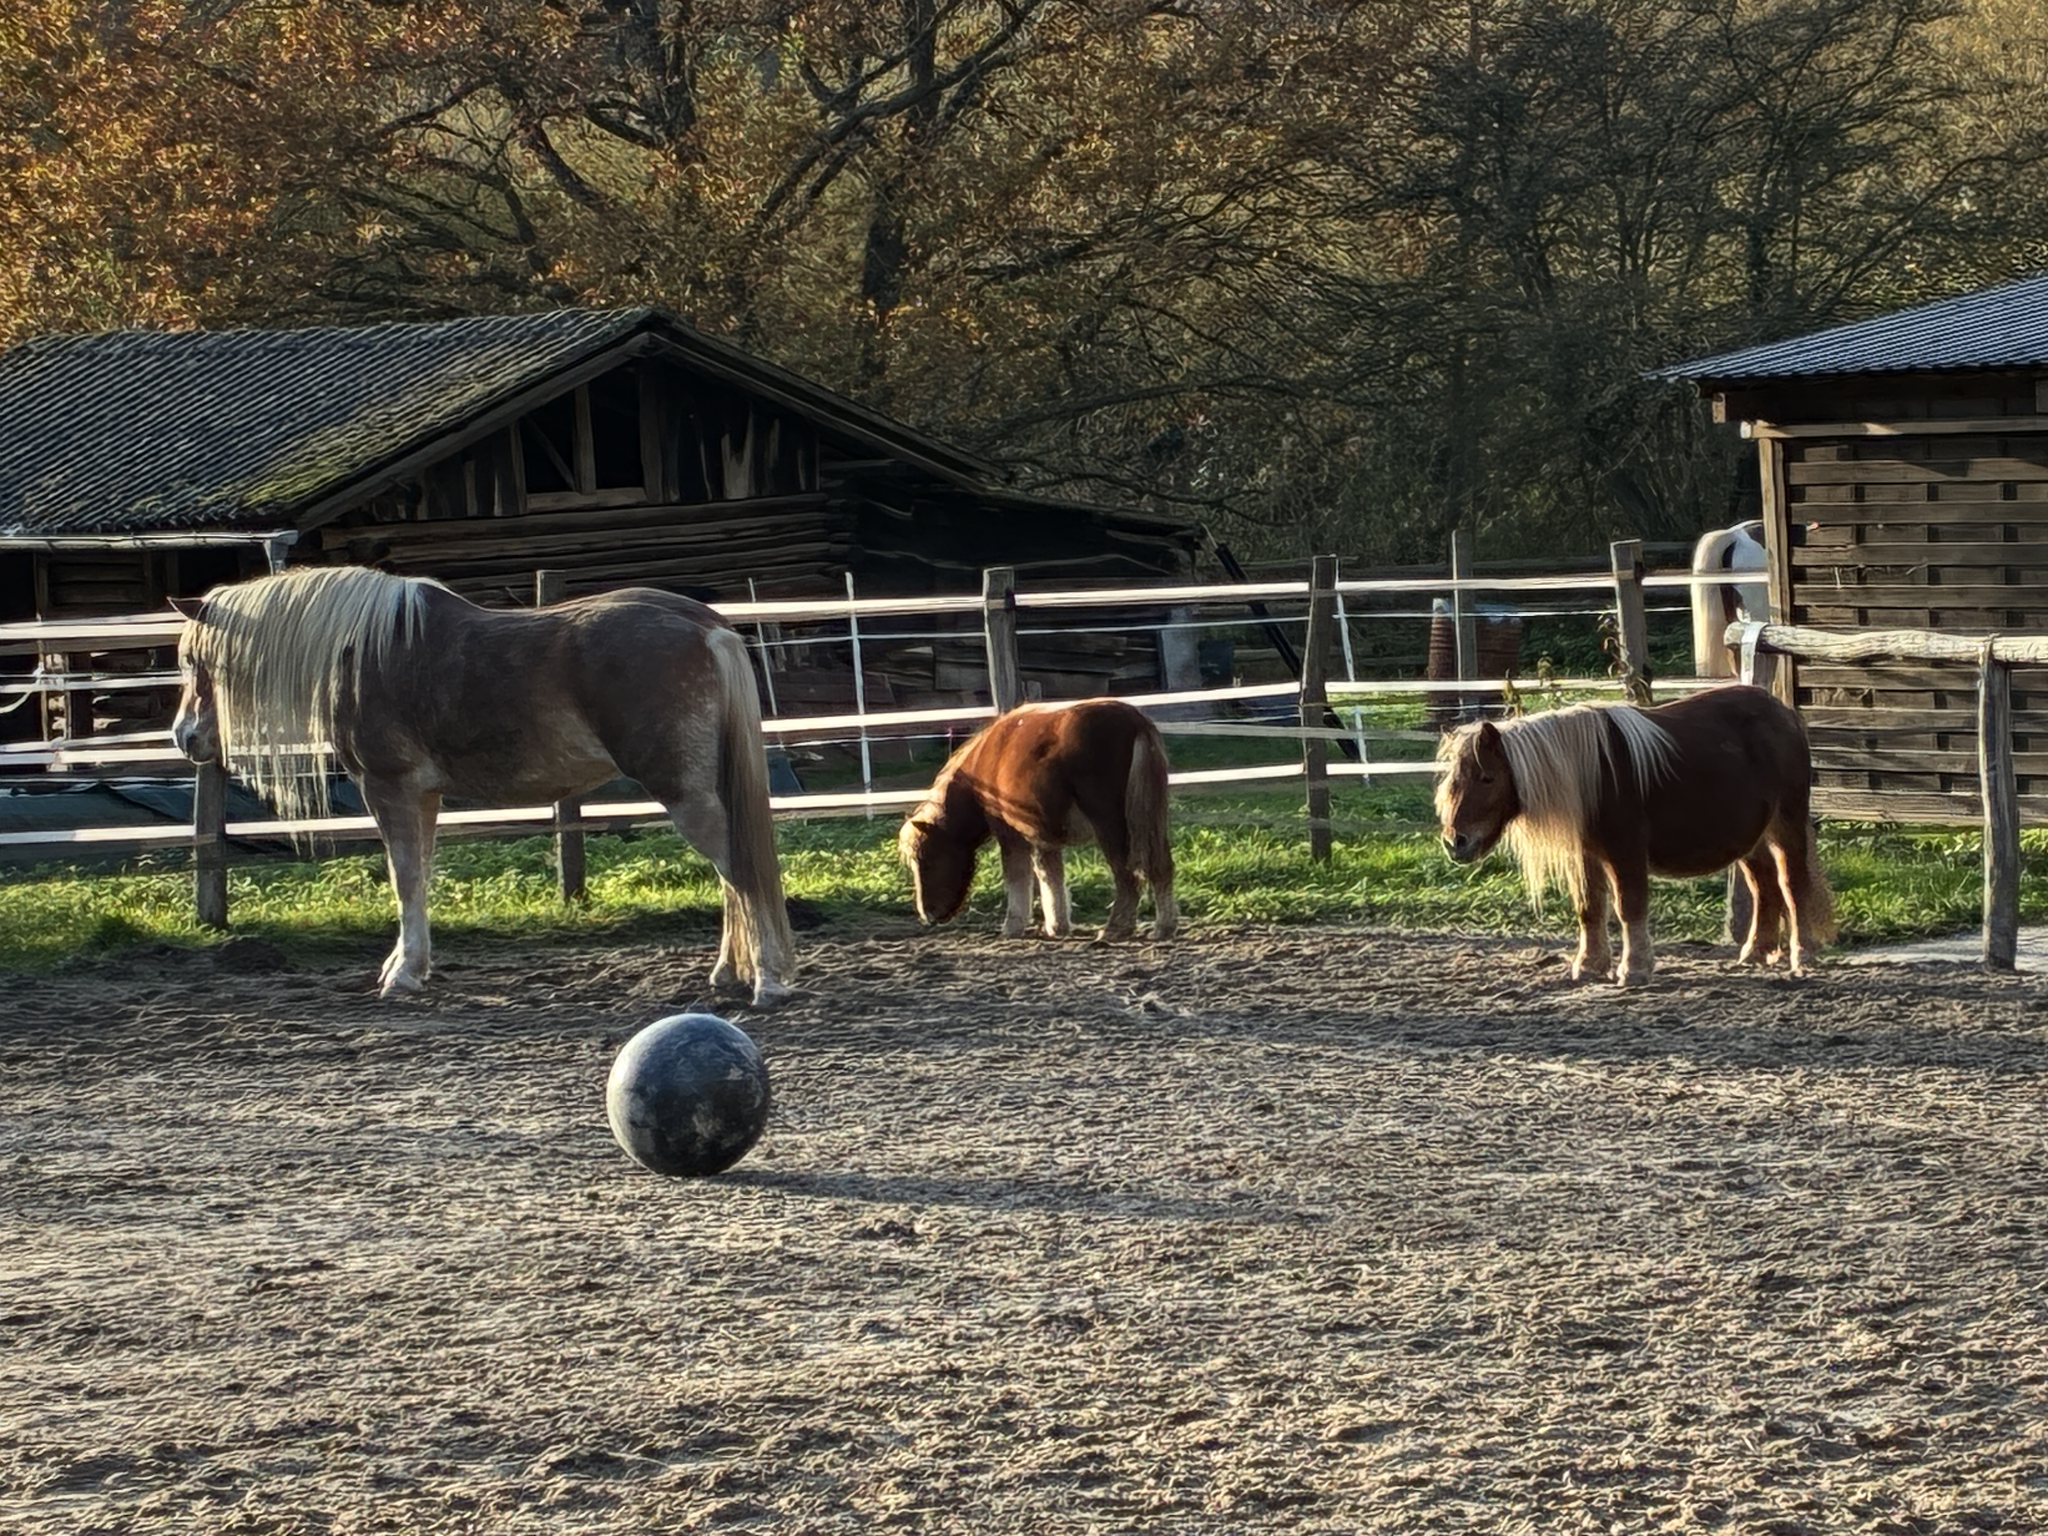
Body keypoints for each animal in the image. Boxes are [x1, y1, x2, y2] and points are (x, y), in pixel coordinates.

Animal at [170, 565, 798, 1005]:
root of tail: (706, 626)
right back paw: (728, 973)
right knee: (732, 877)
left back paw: (767, 979)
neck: (363, 652)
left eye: (195, 661)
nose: (184, 737)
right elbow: (419, 877)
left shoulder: (388, 787)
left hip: (682, 790)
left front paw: (402, 975)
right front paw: (410, 966)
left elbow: (404, 879)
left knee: (740, 870)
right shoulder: (423, 796)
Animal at [898, 698, 1178, 942]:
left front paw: (1013, 925)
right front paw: (1057, 926)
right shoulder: (1043, 837)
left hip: (1110, 824)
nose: (928, 915)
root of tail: (1135, 721)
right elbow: (1050, 876)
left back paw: (1115, 928)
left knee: (1125, 874)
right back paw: (1162, 927)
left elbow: (1018, 876)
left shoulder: (1010, 835)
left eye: (927, 859)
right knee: (1161, 866)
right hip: (1152, 819)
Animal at [1434, 684, 1834, 985]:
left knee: (1792, 883)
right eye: (1454, 779)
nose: (1456, 841)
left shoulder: (1624, 853)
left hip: (1786, 825)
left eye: (1487, 778)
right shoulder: (1587, 855)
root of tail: (1785, 713)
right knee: (1764, 888)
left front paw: (1635, 968)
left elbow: (1629, 906)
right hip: (1752, 839)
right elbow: (1589, 907)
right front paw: (1589, 966)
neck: (1596, 775)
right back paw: (1756, 953)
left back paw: (1802, 955)